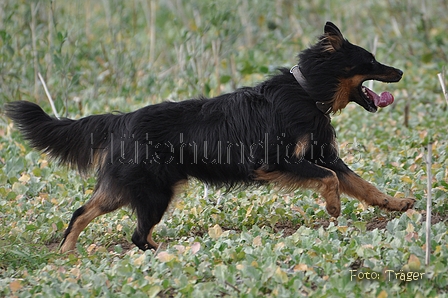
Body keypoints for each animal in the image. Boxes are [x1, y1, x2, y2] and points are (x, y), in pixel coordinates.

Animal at [5, 22, 414, 253]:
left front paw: (396, 204)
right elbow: (329, 180)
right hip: (152, 193)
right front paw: (332, 207)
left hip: (132, 189)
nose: (401, 71)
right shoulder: (277, 162)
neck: (305, 90)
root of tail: (121, 120)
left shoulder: (323, 156)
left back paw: (69, 253)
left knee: (85, 213)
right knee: (132, 233)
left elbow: (364, 185)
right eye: (371, 61)